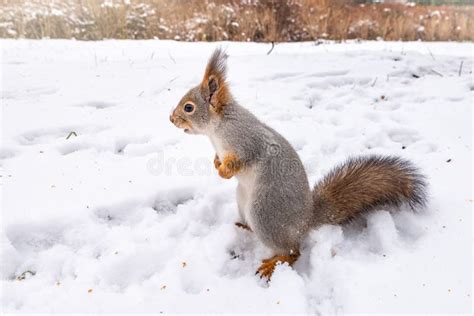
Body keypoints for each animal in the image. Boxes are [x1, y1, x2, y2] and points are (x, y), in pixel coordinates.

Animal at [168, 47, 428, 278]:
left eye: (189, 107)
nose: (171, 118)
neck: (218, 129)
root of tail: (305, 220)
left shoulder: (248, 141)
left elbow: (242, 160)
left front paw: (224, 171)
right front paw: (215, 163)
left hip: (265, 213)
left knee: (294, 251)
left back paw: (274, 263)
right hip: (243, 201)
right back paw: (244, 228)